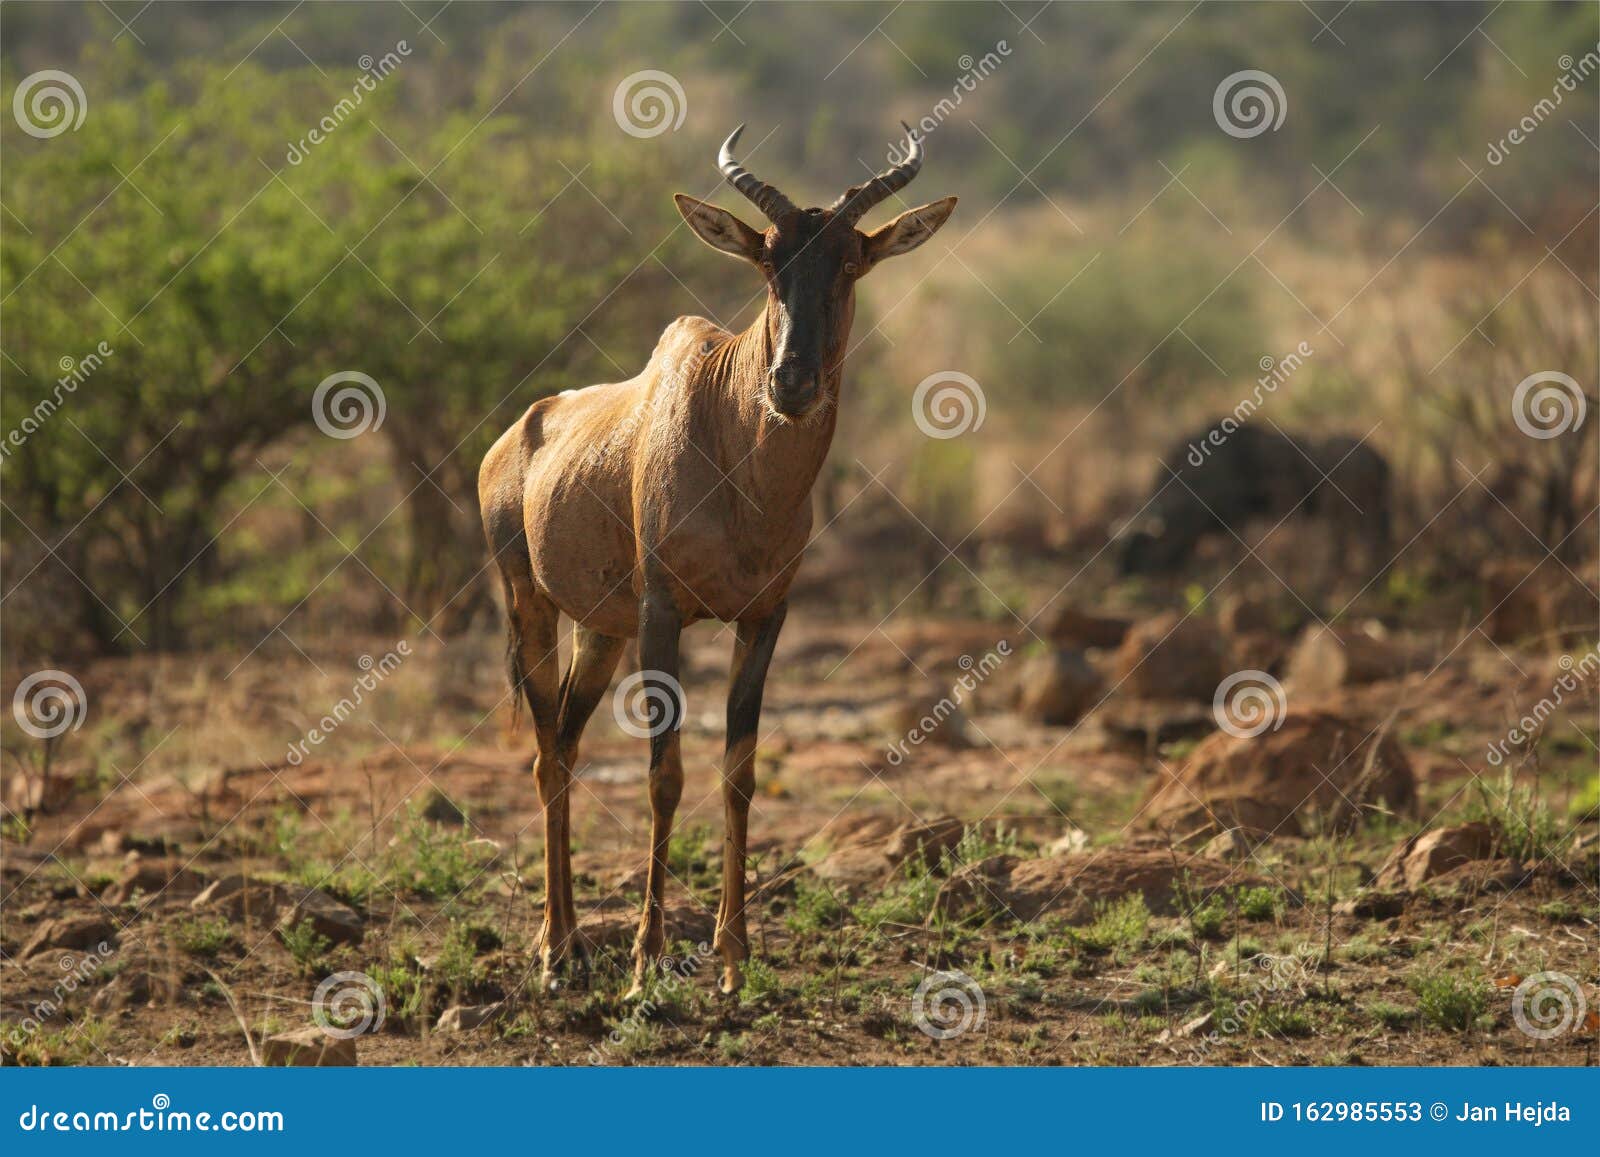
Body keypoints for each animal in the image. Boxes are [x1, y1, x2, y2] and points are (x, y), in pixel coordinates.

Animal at [473, 126, 947, 998]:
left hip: (601, 631)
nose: (790, 384)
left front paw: (734, 958)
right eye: (767, 260)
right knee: (547, 755)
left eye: (850, 261)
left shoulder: (764, 618)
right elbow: (667, 774)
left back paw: (573, 945)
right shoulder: (664, 614)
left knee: (569, 743)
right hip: (531, 604)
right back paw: (556, 949)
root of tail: (518, 431)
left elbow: (740, 771)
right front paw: (646, 961)